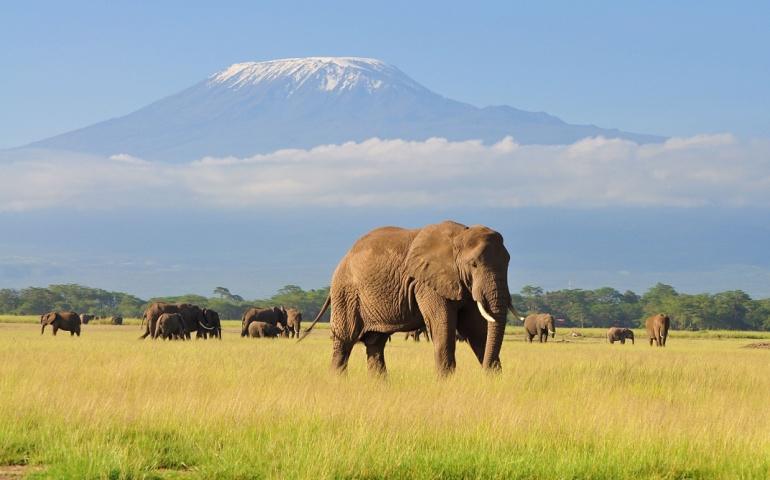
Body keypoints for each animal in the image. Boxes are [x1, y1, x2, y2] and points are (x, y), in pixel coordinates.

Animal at [301, 221, 522, 376]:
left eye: (508, 262)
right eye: (474, 264)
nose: (484, 371)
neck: (460, 235)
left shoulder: (462, 284)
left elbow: (476, 329)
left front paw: (493, 379)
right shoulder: (427, 283)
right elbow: (442, 326)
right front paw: (446, 383)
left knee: (375, 344)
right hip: (346, 293)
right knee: (344, 342)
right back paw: (337, 381)